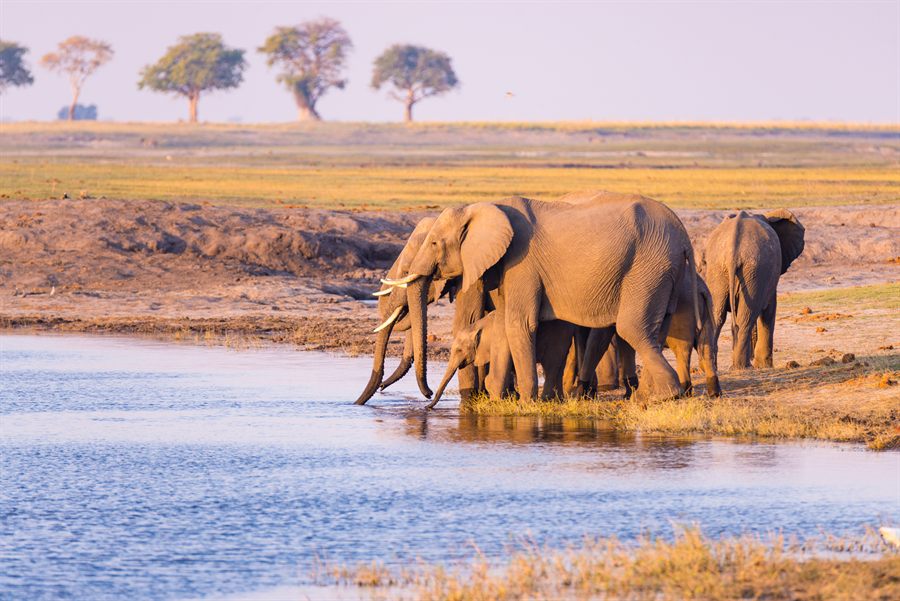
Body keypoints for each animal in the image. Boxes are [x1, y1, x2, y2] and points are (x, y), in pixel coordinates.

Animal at [380, 193, 701, 402]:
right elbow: (507, 323)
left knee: (631, 328)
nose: (428, 396)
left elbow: (518, 324)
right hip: (661, 272)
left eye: (435, 243)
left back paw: (661, 397)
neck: (483, 207)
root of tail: (684, 235)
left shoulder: (520, 263)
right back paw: (650, 395)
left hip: (648, 265)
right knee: (654, 329)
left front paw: (523, 402)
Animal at [703, 209, 805, 370]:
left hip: (718, 269)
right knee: (746, 318)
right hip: (755, 269)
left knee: (718, 315)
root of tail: (733, 252)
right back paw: (743, 367)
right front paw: (764, 366)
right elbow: (769, 309)